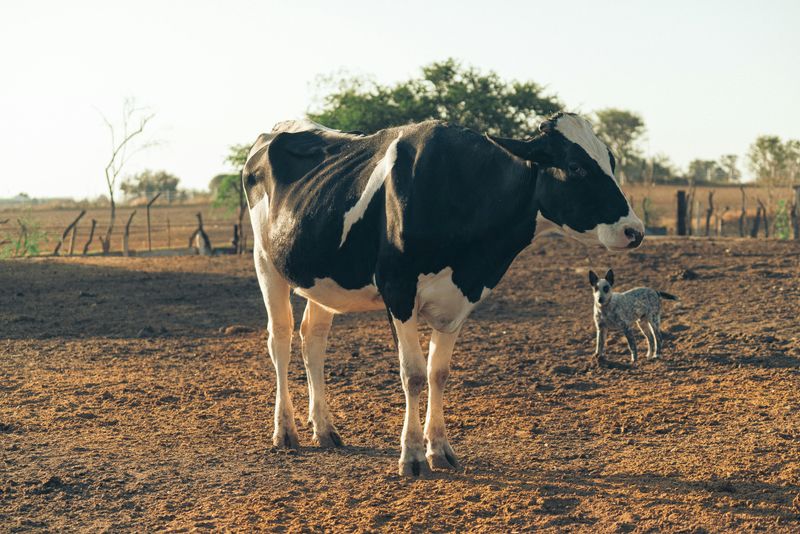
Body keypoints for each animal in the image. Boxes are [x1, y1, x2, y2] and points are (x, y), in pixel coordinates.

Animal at [243, 112, 644, 476]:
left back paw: (325, 430)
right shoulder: (398, 289)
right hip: (265, 261)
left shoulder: (458, 302)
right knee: (280, 339)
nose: (635, 230)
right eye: (575, 166)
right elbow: (413, 374)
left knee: (313, 339)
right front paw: (412, 456)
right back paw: (285, 432)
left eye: (610, 161)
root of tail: (278, 128)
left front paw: (439, 450)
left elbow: (438, 373)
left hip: (323, 279)